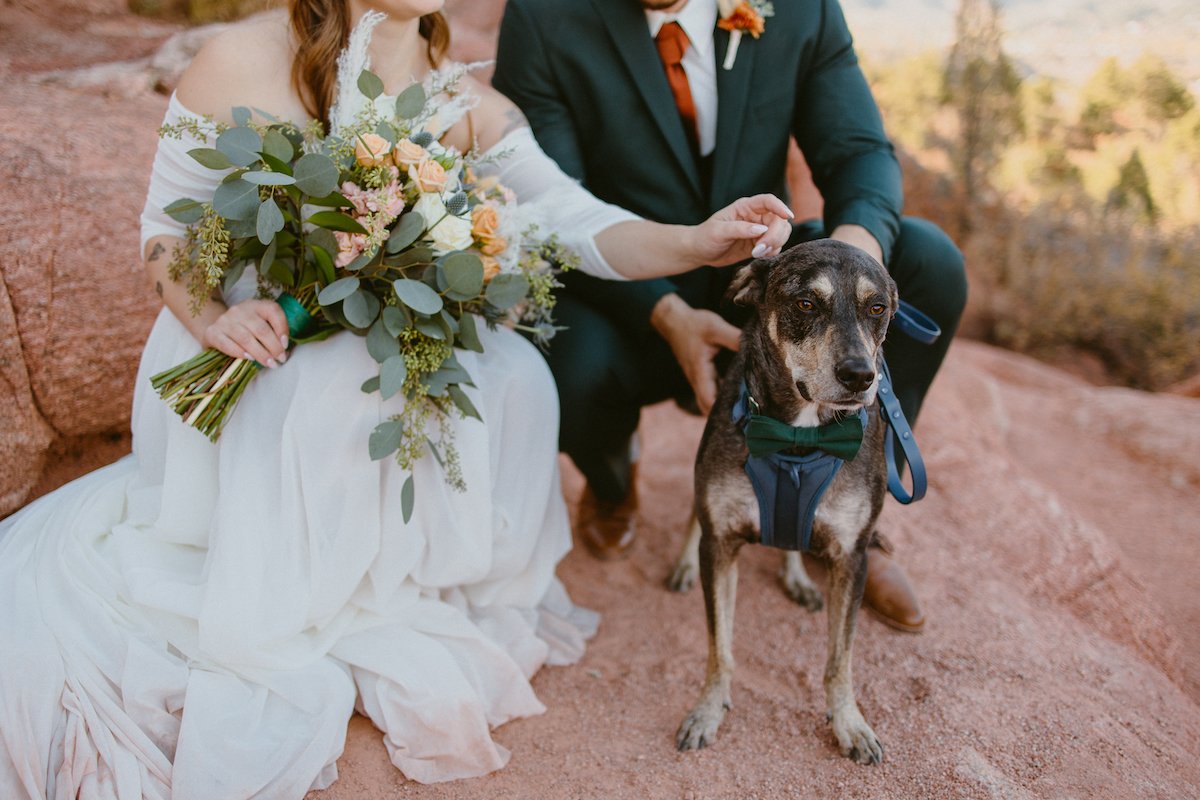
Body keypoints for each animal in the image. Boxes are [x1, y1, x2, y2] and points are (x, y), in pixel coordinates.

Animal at [672, 241, 897, 767]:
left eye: (878, 308)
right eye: (806, 304)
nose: (860, 376)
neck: (798, 436)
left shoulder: (852, 558)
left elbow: (840, 658)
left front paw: (849, 722)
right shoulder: (722, 543)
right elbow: (720, 647)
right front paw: (708, 710)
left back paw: (797, 576)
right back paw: (685, 561)